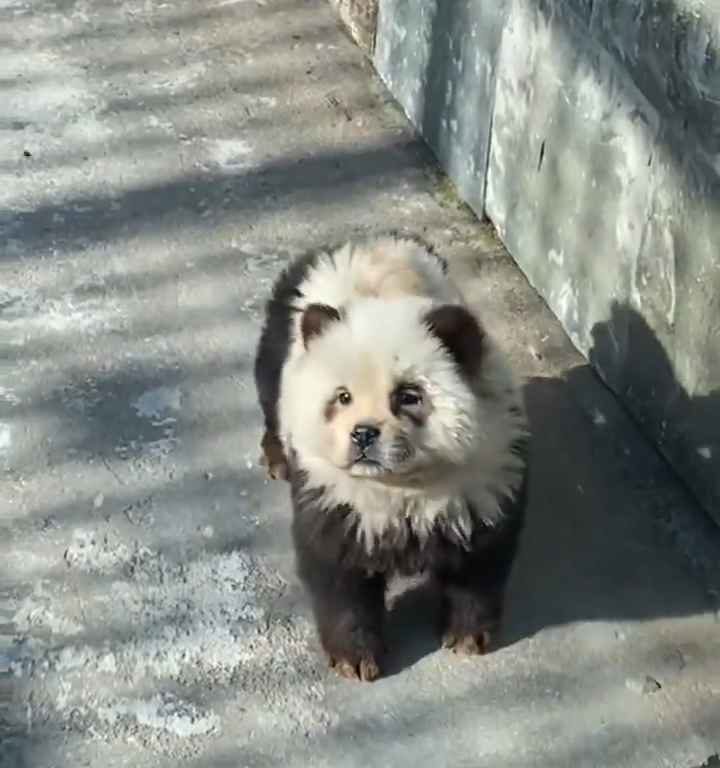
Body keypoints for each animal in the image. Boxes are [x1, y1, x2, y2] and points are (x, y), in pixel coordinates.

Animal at [253, 237, 528, 680]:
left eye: (407, 396)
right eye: (342, 396)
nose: (363, 434)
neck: (403, 488)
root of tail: (365, 243)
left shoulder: (485, 479)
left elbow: (478, 566)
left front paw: (467, 636)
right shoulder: (334, 495)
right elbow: (339, 576)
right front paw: (355, 658)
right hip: (279, 343)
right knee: (269, 398)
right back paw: (276, 458)